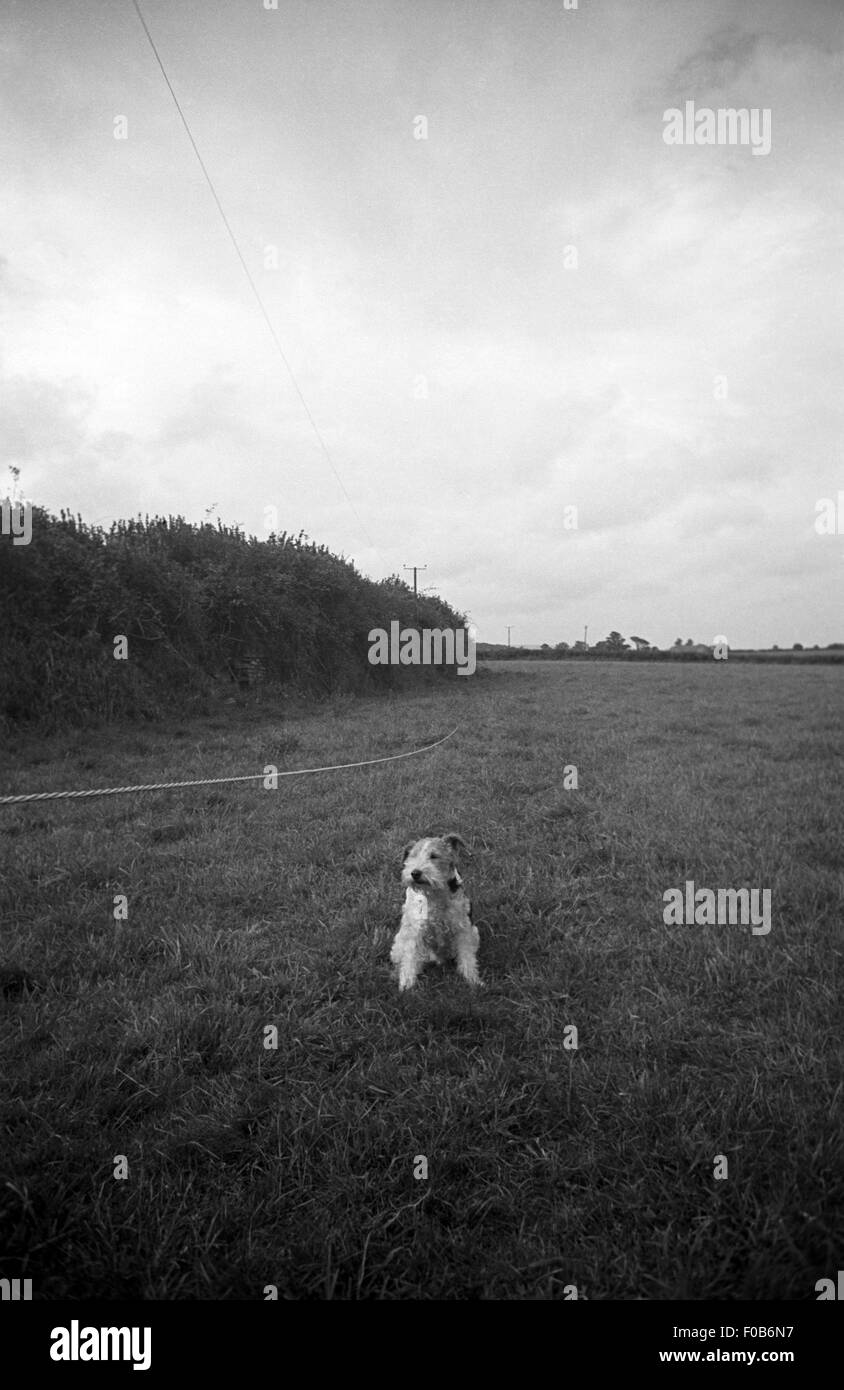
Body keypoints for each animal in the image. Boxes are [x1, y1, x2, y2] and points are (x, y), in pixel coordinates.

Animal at [389, 834, 481, 989]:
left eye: (434, 856)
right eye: (412, 855)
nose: (415, 873)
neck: (433, 893)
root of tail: (437, 959)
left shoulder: (462, 929)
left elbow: (467, 957)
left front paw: (473, 980)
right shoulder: (415, 930)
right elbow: (409, 959)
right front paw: (406, 985)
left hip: (474, 933)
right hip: (400, 940)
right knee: (403, 959)